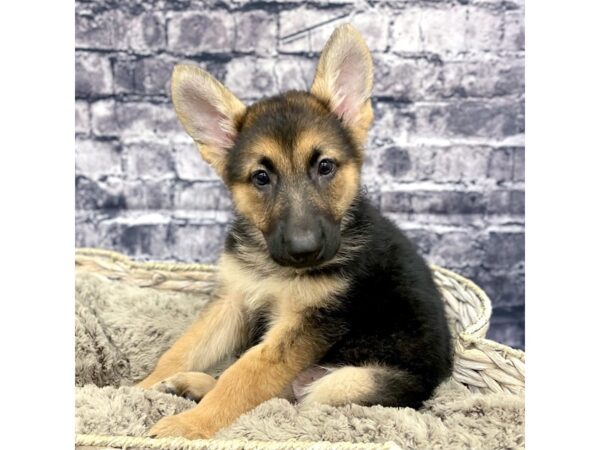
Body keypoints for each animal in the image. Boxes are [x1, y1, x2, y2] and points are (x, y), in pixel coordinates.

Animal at [139, 22, 450, 438]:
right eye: (261, 177)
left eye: (325, 167)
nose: (305, 251)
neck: (276, 269)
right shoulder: (232, 300)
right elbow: (185, 347)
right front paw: (138, 386)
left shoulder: (308, 323)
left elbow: (245, 374)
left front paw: (192, 424)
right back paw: (189, 384)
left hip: (349, 381)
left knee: (290, 401)